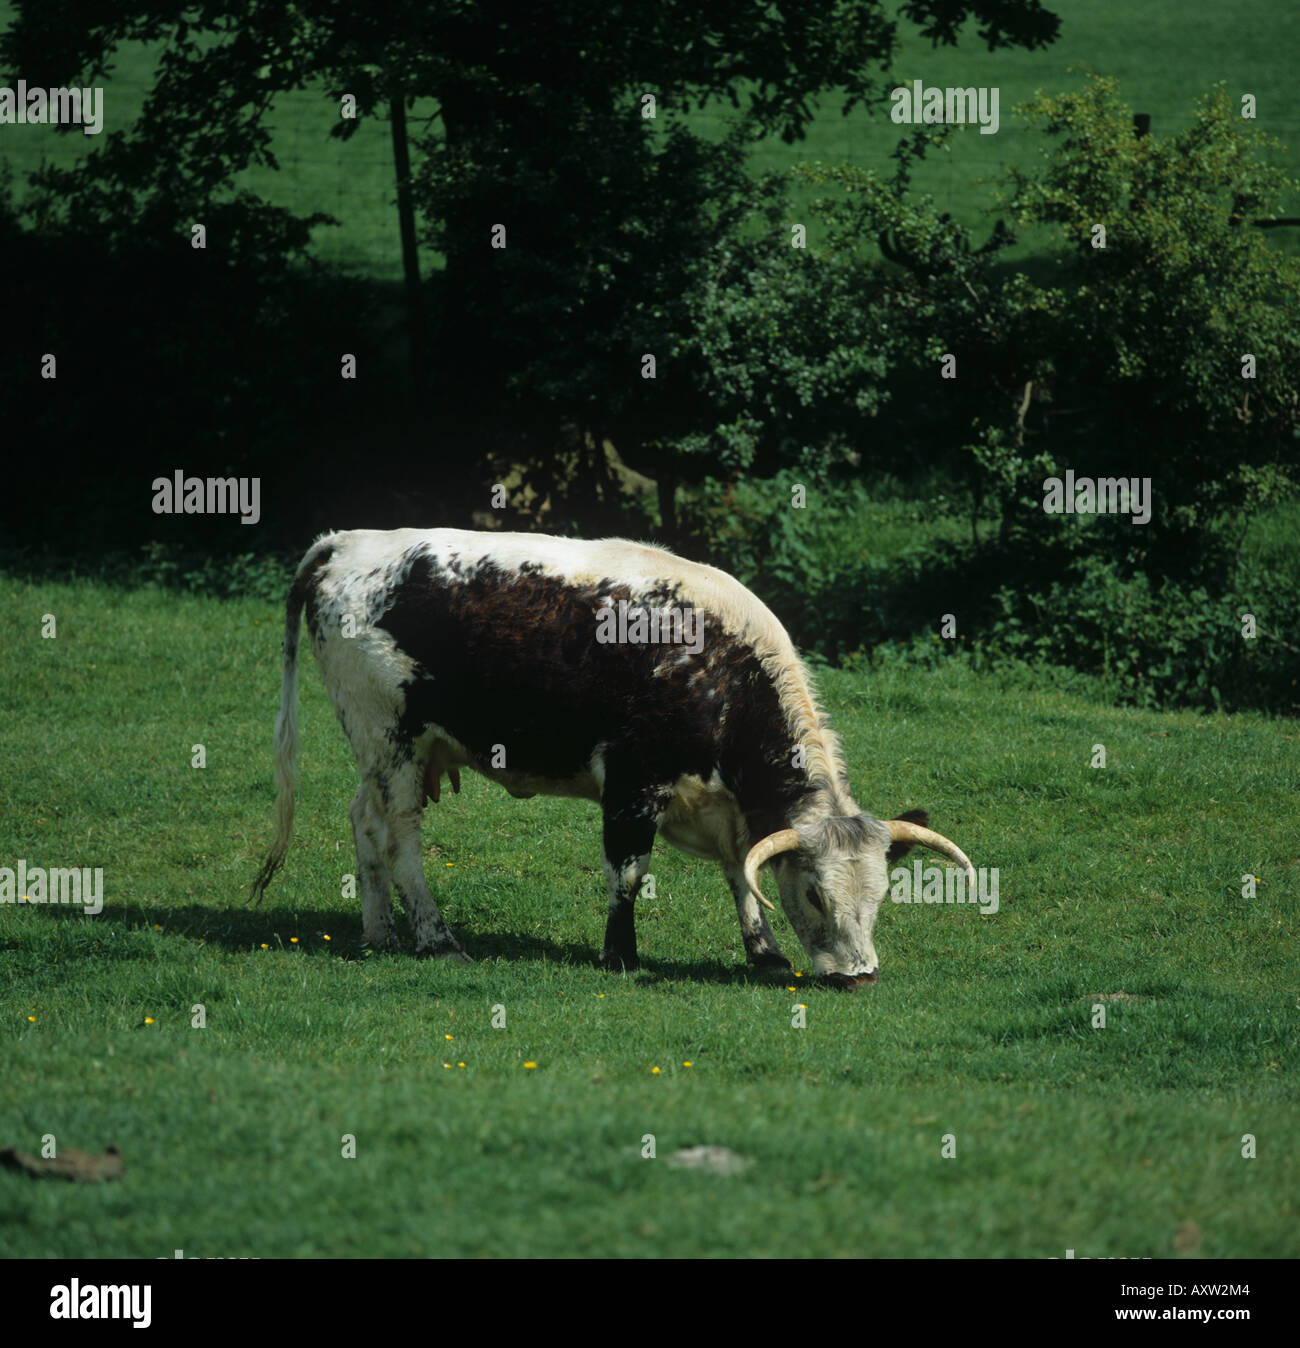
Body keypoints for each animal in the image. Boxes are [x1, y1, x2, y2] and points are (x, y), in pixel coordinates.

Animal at [250, 528, 976, 992]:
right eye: (817, 894)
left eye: (879, 896)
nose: (861, 977)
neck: (717, 669)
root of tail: (347, 541)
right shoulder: (632, 782)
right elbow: (628, 874)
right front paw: (621, 955)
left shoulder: (731, 810)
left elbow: (741, 876)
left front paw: (764, 954)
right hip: (392, 739)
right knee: (400, 839)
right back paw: (436, 939)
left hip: (386, 749)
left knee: (364, 823)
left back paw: (379, 934)